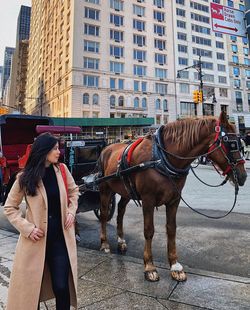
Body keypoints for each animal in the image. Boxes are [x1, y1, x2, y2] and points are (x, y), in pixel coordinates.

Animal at [97, 112, 246, 282]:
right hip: (105, 189)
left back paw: (121, 241)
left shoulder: (174, 199)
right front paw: (149, 266)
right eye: (231, 144)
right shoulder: (148, 199)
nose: (243, 176)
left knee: (121, 211)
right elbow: (149, 230)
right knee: (103, 214)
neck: (162, 158)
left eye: (241, 143)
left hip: (126, 190)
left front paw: (175, 266)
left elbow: (171, 229)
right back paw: (104, 244)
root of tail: (107, 147)